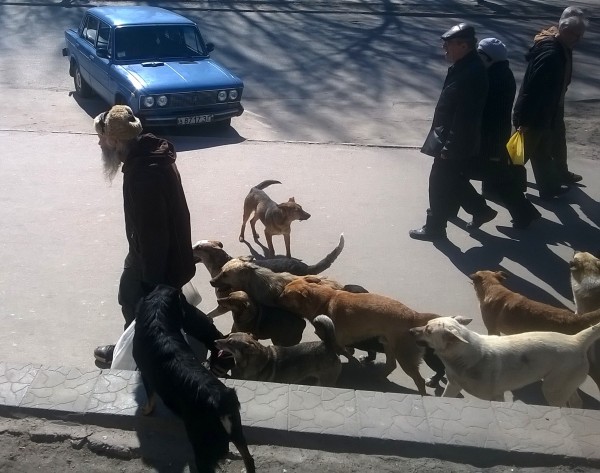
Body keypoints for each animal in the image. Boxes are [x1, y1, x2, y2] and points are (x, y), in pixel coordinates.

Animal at [134, 284, 255, 472]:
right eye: (183, 300)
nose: (198, 312)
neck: (157, 317)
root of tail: (220, 403)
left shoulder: (145, 374)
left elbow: (150, 396)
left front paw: (146, 411)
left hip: (201, 445)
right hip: (236, 431)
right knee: (249, 459)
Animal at [276, 276, 440, 394]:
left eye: (285, 295)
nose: (276, 297)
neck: (324, 300)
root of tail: (414, 315)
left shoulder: (336, 342)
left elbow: (348, 355)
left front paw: (355, 363)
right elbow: (349, 353)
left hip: (404, 356)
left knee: (419, 380)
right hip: (389, 346)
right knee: (391, 365)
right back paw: (379, 377)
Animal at [410, 316, 600, 408]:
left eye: (428, 330)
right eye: (426, 324)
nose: (410, 330)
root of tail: (577, 340)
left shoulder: (497, 397)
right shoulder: (453, 385)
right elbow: (445, 397)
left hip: (553, 390)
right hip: (563, 386)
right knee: (576, 402)